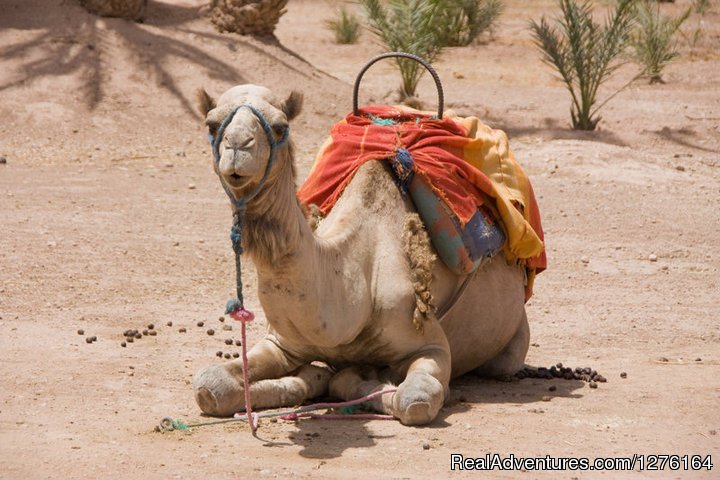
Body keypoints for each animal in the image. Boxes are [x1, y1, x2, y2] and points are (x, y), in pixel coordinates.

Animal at [193, 84, 536, 426]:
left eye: (280, 126)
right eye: (211, 124)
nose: (238, 147)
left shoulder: (430, 343)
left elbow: (414, 400)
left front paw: (357, 376)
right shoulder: (281, 343)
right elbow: (210, 386)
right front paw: (308, 379)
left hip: (511, 343)